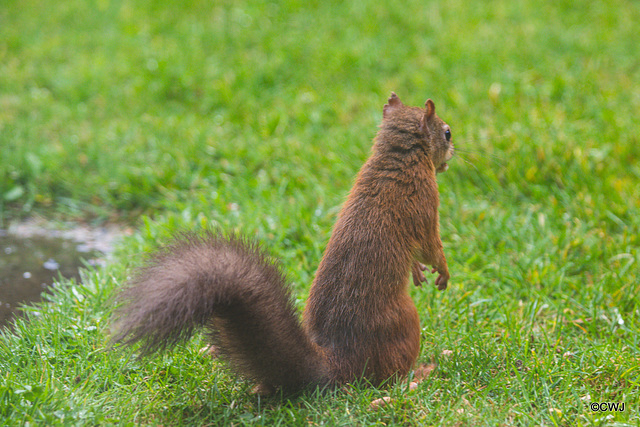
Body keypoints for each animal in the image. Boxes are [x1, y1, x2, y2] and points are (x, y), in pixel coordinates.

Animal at [114, 93, 456, 394]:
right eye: (447, 132)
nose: (453, 153)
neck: (396, 158)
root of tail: (338, 363)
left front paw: (417, 271)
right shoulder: (426, 203)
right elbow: (431, 246)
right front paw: (442, 272)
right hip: (406, 324)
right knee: (387, 378)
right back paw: (419, 374)